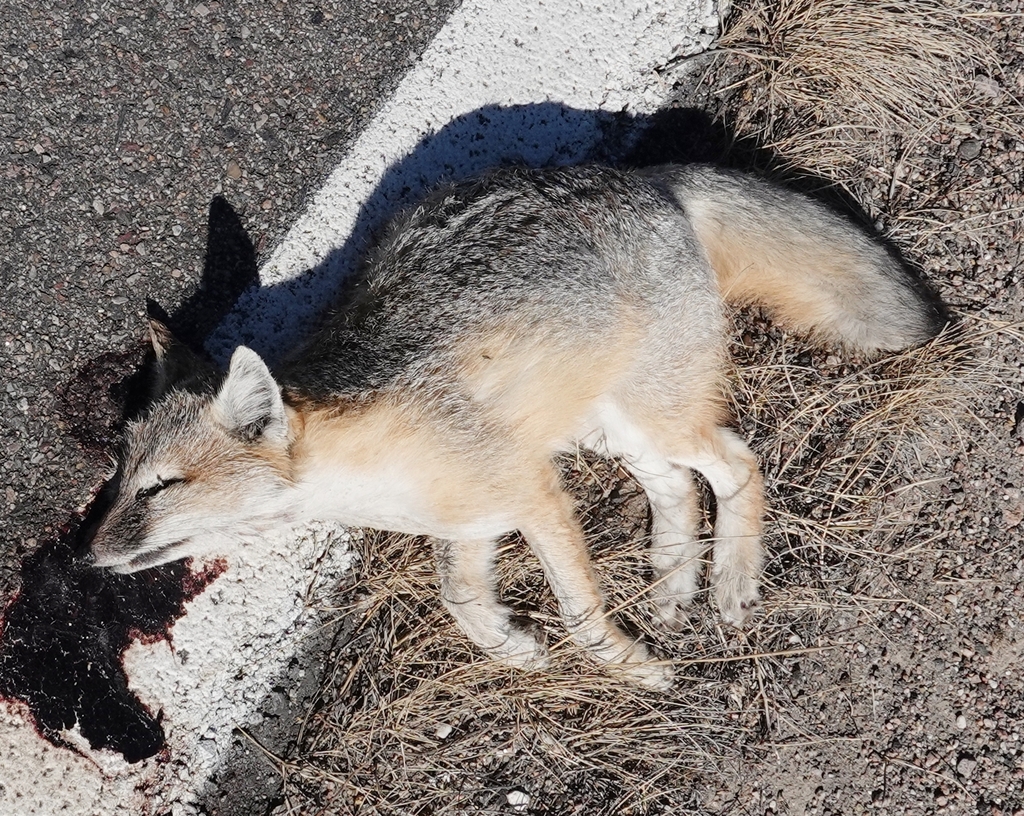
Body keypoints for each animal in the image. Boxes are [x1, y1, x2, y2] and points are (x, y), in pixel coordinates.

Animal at [86, 164, 945, 689]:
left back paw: (730, 577)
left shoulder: (533, 494)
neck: (371, 467)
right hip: (611, 433)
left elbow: (578, 611)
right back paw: (675, 578)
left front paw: (631, 668)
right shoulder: (473, 521)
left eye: (161, 487)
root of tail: (651, 179)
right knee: (677, 488)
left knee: (735, 463)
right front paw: (515, 648)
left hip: (652, 418)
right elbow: (462, 602)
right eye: (121, 481)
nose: (88, 556)